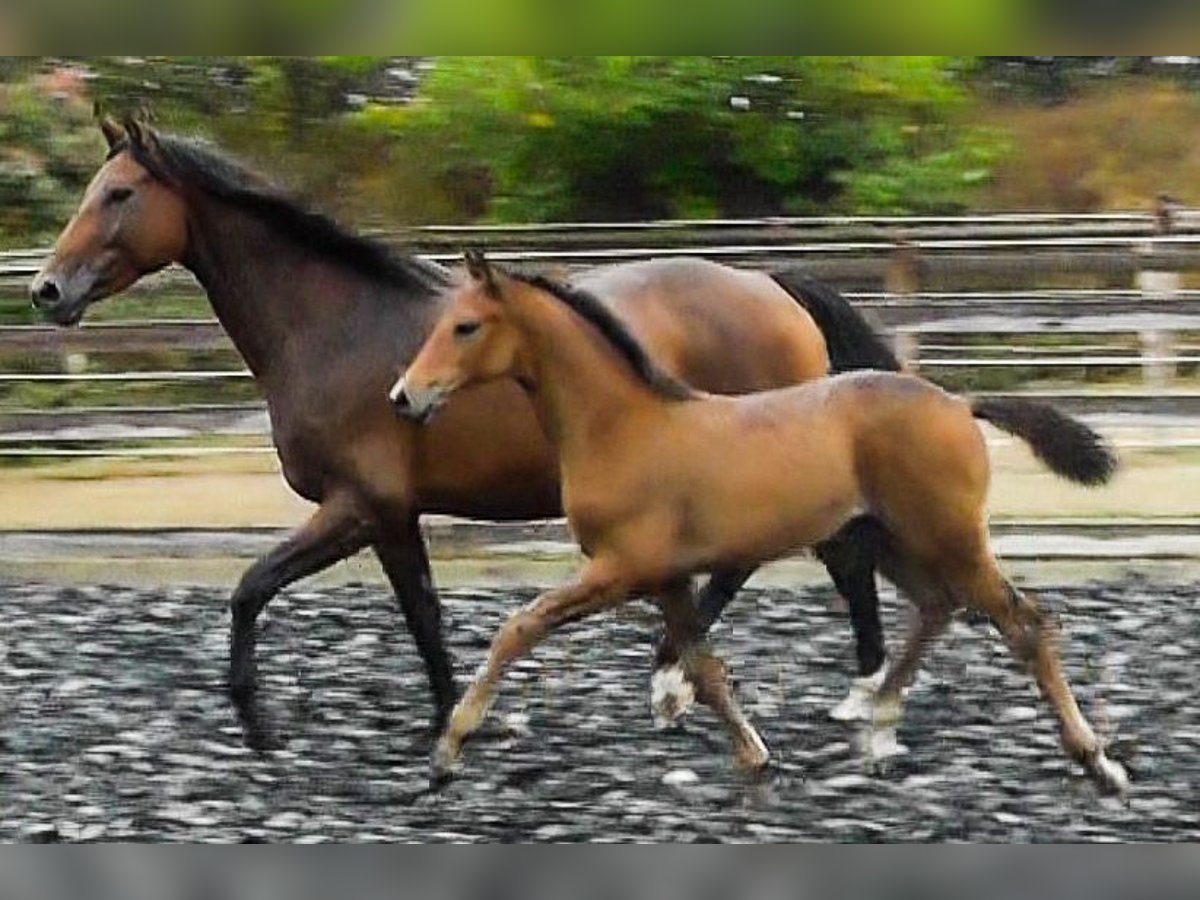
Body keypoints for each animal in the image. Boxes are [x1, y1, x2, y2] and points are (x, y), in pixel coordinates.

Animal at [28, 112, 897, 748]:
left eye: (119, 194)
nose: (45, 290)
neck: (332, 327)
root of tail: (770, 284)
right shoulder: (391, 517)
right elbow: (421, 614)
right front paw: (450, 719)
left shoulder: (360, 506)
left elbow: (255, 589)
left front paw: (258, 722)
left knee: (814, 560)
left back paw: (741, 688)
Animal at [391, 250, 1123, 792]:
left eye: (465, 326)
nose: (404, 397)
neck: (624, 428)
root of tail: (956, 402)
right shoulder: (664, 579)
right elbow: (705, 667)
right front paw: (753, 754)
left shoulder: (620, 569)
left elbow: (519, 627)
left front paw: (447, 751)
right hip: (892, 538)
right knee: (937, 607)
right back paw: (879, 726)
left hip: (949, 538)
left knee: (1024, 624)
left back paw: (1094, 759)